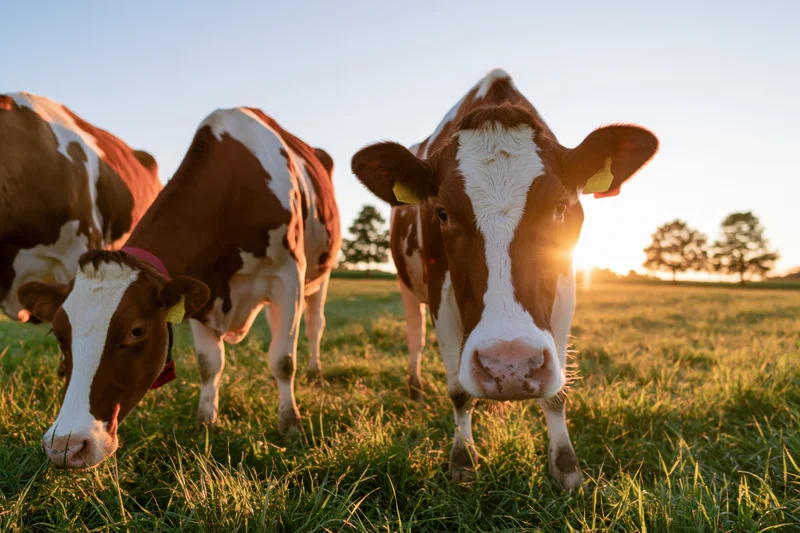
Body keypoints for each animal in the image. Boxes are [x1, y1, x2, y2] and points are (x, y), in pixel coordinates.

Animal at [18, 107, 341, 469]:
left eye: (137, 331)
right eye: (59, 334)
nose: (66, 446)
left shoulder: (287, 278)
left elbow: (282, 360)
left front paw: (290, 426)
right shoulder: (203, 294)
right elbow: (209, 363)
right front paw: (205, 421)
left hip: (319, 277)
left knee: (313, 326)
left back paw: (315, 370)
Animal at [351, 69, 658, 488]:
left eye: (560, 206)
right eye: (442, 212)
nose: (507, 365)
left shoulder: (565, 285)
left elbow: (557, 393)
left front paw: (567, 468)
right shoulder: (440, 291)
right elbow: (458, 390)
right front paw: (463, 461)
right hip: (407, 286)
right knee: (415, 338)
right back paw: (416, 392)